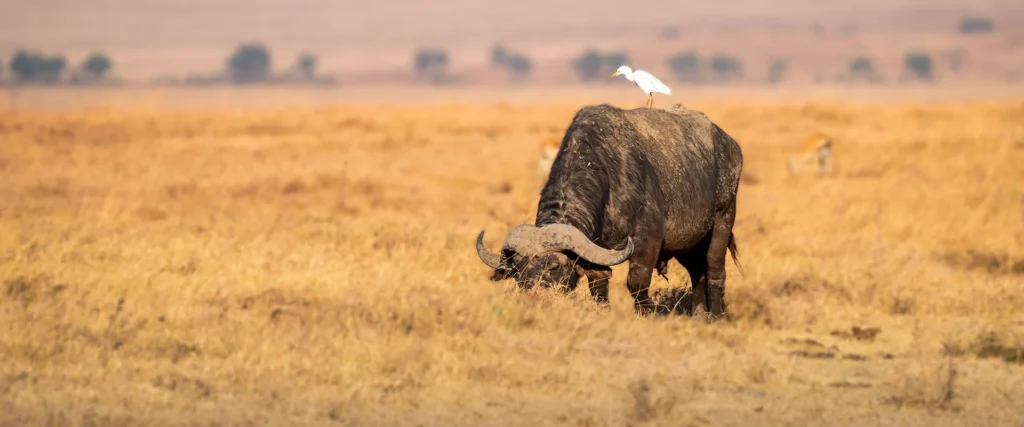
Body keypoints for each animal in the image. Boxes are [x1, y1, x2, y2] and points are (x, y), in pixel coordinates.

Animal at [475, 103, 741, 315]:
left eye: (554, 266)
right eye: (518, 268)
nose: (535, 296)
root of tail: (729, 144)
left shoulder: (648, 243)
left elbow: (637, 282)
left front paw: (649, 313)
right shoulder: (596, 249)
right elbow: (598, 283)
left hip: (723, 218)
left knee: (715, 269)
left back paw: (716, 315)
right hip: (687, 242)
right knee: (697, 271)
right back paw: (699, 313)